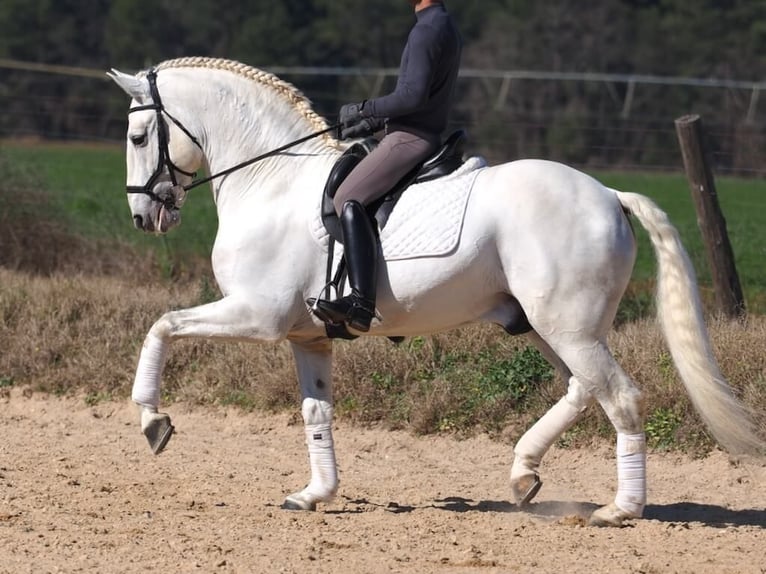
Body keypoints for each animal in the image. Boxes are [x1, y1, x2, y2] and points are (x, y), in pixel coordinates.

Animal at [106, 57, 760, 528]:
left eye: (138, 136)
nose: (142, 216)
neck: (270, 181)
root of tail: (608, 193)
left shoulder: (256, 315)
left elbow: (162, 324)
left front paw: (152, 420)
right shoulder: (306, 336)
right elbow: (316, 412)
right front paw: (316, 493)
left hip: (568, 328)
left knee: (620, 397)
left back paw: (619, 510)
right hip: (548, 325)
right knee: (582, 389)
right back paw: (523, 474)